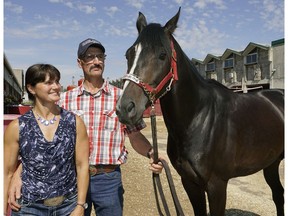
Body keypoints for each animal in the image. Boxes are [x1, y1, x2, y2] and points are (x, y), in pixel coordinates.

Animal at [116, 7, 284, 215]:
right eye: (128, 54)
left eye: (162, 55)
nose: (125, 108)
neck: (198, 119)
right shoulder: (189, 182)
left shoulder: (217, 185)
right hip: (271, 163)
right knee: (278, 194)